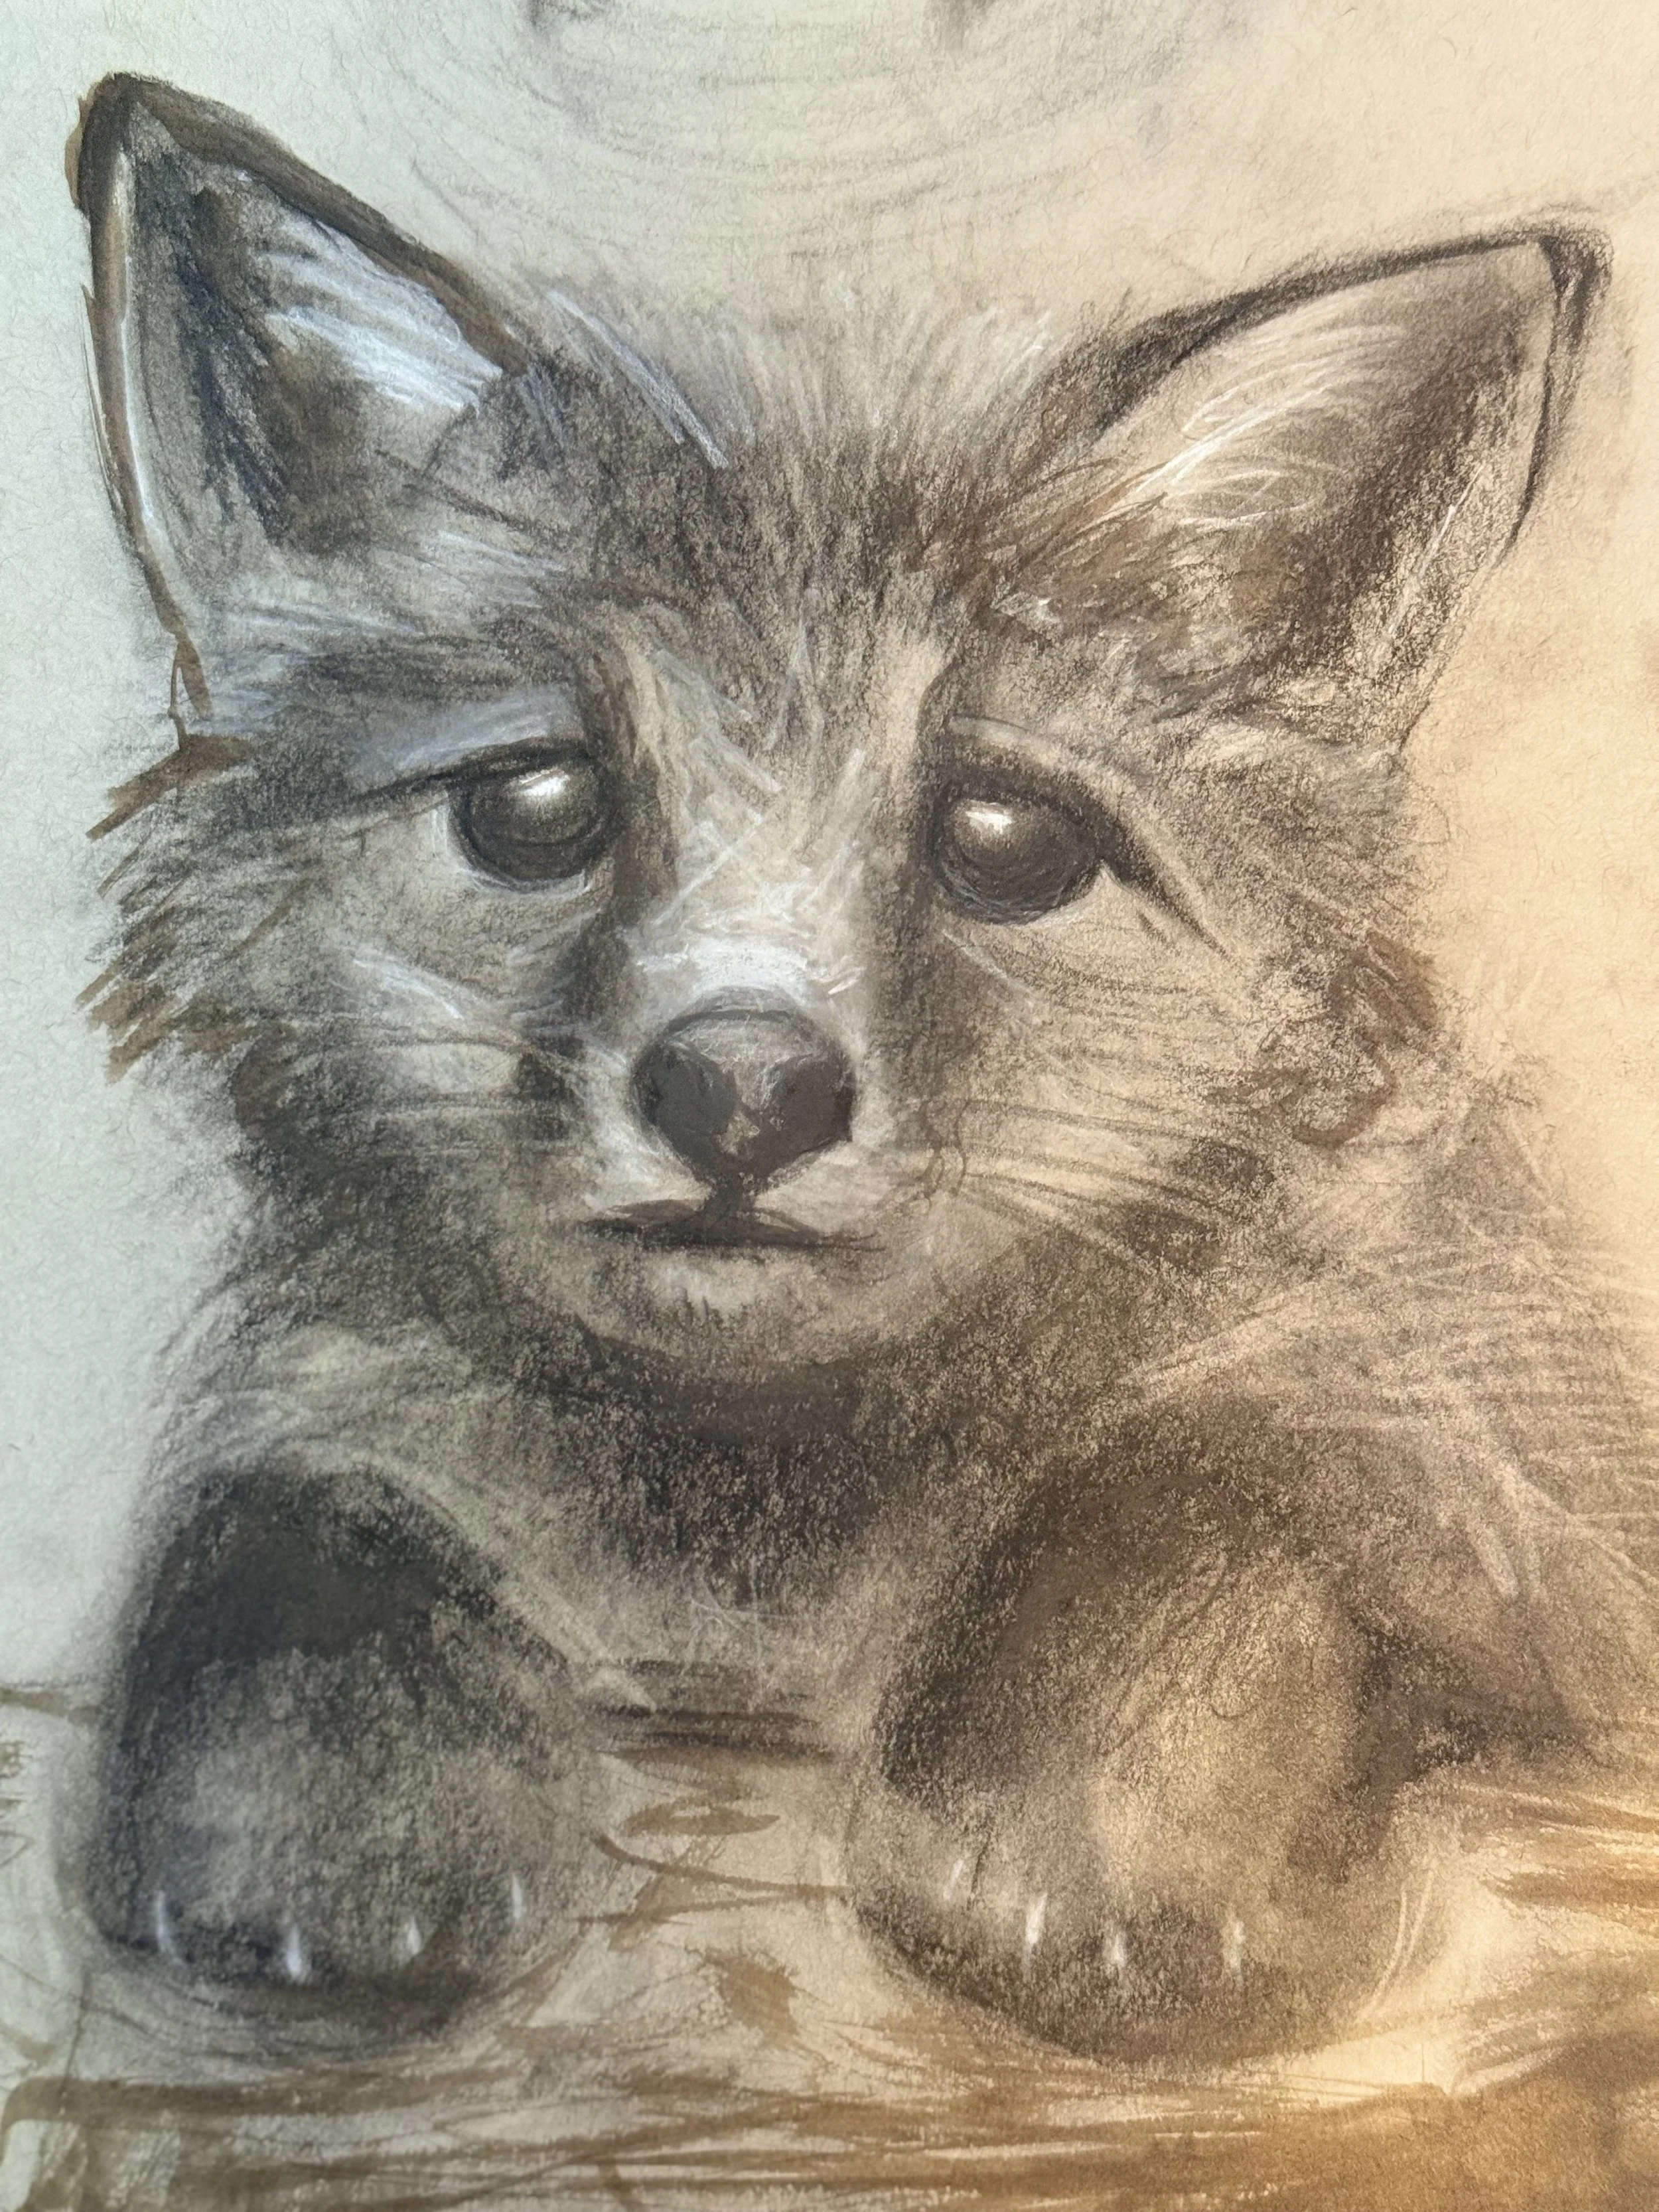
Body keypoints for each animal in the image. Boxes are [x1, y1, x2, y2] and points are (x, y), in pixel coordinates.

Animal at [66, 71, 1659, 2061]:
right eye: (538, 805)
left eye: (1003, 837)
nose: (743, 1090)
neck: (754, 1573)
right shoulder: (315, 1401)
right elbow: (285, 1549)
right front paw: (328, 1823)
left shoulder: (1483, 1472)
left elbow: (1198, 1505)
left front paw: (1093, 1851)